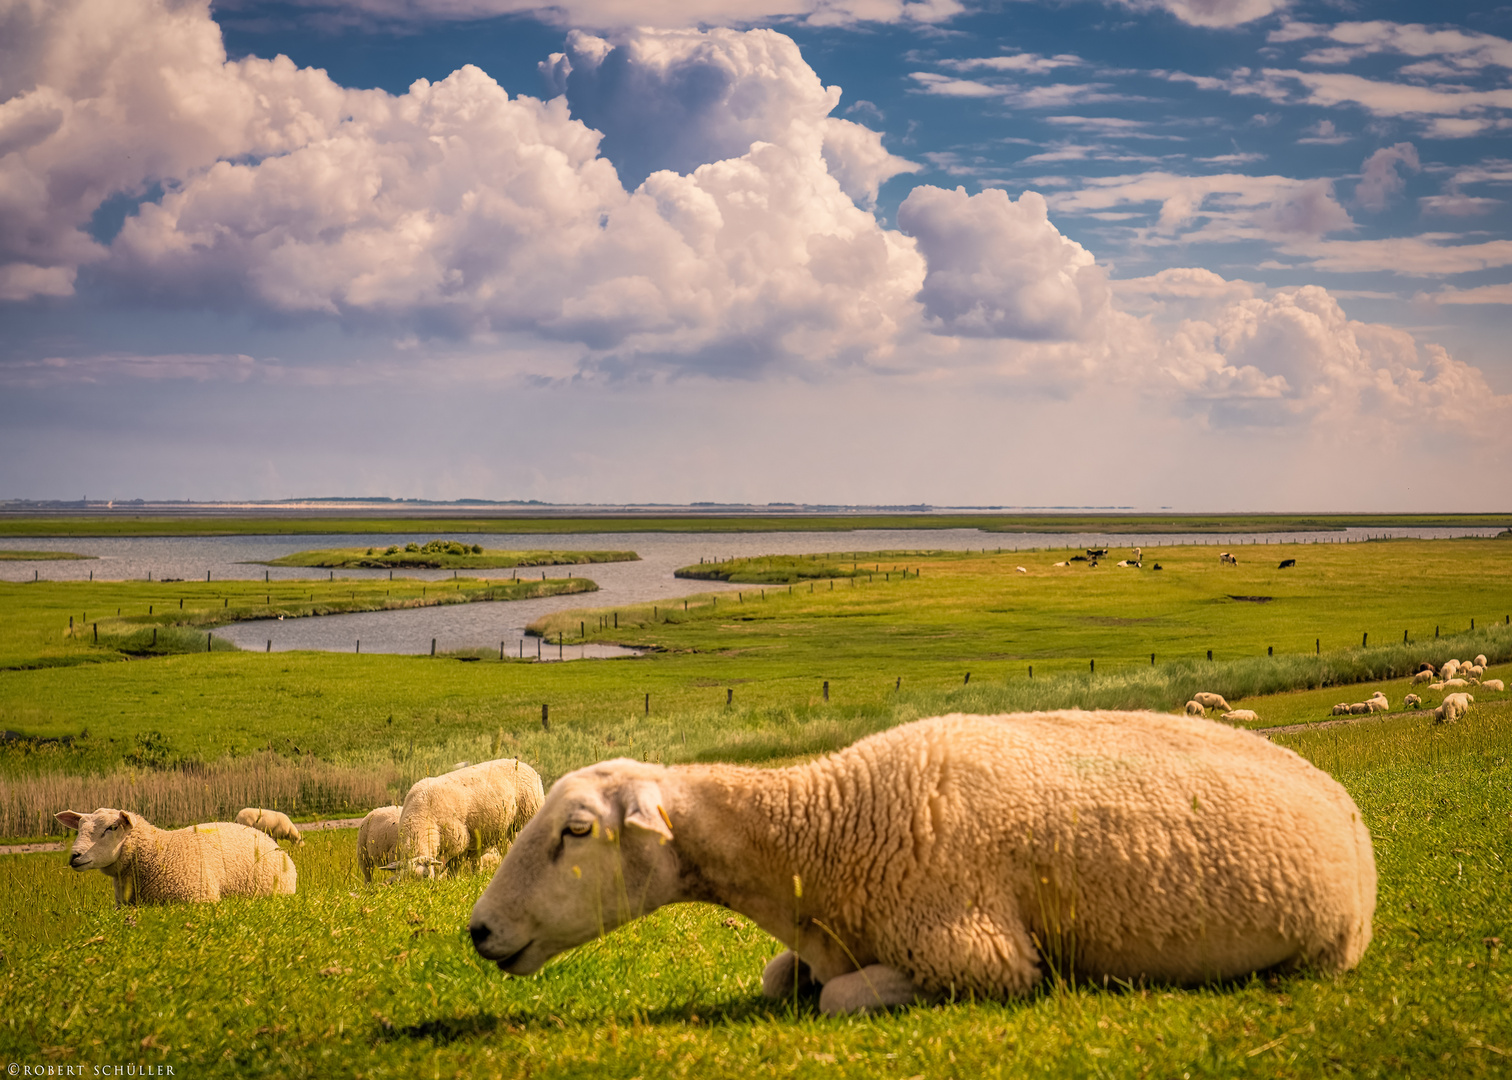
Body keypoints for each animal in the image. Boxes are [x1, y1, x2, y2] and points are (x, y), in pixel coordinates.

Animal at [396, 756, 544, 877]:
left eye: (426, 878)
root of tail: (524, 765)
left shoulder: (459, 843)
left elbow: (450, 869)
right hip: (507, 831)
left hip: (527, 817)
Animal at [465, 710, 1378, 1016]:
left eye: (576, 831)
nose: (477, 932)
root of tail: (1341, 798)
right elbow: (782, 977)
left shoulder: (984, 957)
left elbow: (836, 998)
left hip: (1325, 950)